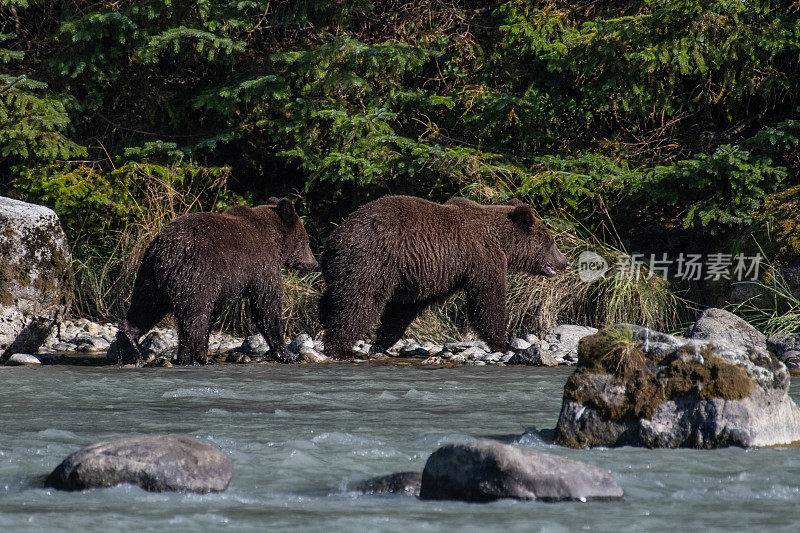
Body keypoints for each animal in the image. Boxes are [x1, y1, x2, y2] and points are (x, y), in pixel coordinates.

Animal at [117, 198, 318, 366]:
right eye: (306, 241)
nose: (314, 263)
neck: (277, 243)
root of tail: (166, 252)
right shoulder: (262, 266)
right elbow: (266, 306)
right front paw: (288, 354)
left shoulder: (222, 283)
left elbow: (215, 312)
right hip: (194, 275)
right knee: (194, 318)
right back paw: (189, 359)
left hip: (149, 276)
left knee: (145, 308)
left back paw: (128, 339)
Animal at [318, 193, 568, 360]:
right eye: (551, 241)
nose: (564, 261)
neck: (502, 241)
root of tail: (334, 238)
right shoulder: (482, 259)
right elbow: (488, 300)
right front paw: (505, 345)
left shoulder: (430, 271)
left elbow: (403, 309)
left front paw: (381, 343)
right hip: (372, 259)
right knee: (360, 301)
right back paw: (341, 348)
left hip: (350, 265)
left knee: (336, 295)